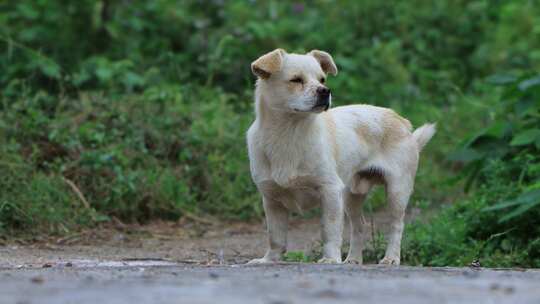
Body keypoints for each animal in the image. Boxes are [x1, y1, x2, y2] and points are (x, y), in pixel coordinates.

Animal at [245, 49, 434, 264]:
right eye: (296, 80)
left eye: (322, 79)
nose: (325, 91)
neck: (289, 134)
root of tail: (402, 122)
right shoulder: (272, 200)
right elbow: (275, 237)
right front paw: (269, 260)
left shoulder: (330, 191)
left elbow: (330, 230)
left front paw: (330, 259)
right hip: (351, 195)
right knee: (359, 226)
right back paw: (353, 259)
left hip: (397, 191)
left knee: (396, 225)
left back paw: (391, 258)